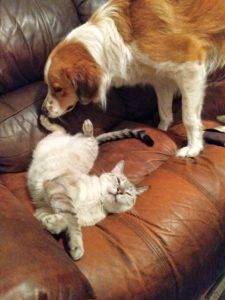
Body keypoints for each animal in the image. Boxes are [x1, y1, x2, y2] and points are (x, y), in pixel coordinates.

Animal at [42, 0, 225, 157]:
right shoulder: (162, 79)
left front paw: (194, 147)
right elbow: (164, 112)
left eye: (58, 88)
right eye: (48, 86)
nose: (43, 110)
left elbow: (189, 118)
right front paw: (162, 129)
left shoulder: (191, 65)